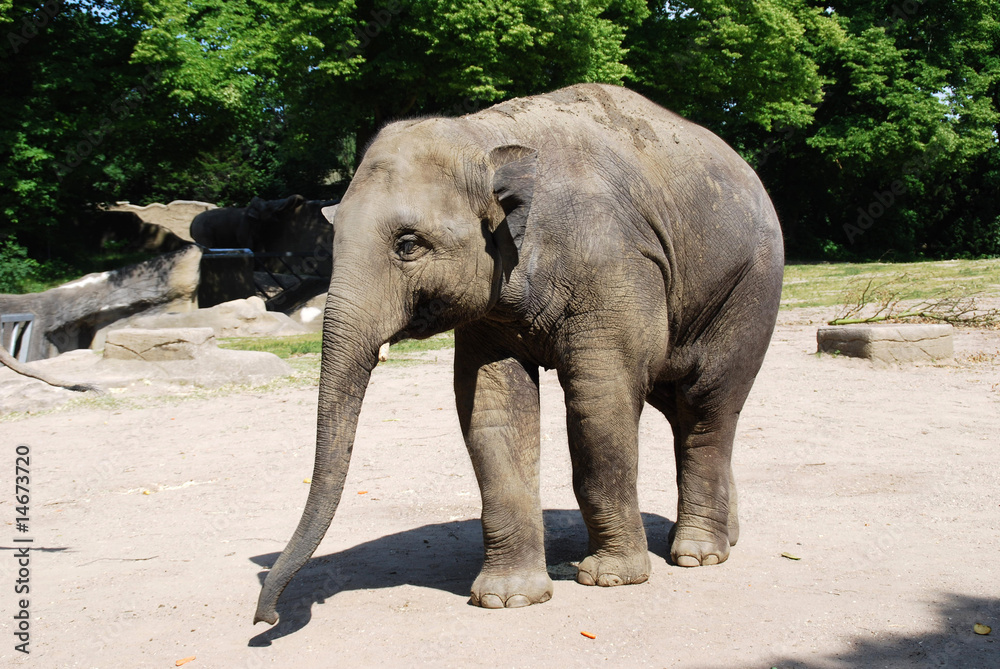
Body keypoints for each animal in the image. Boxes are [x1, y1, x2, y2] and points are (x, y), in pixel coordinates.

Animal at [254, 82, 784, 620]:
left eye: (407, 245)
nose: (267, 615)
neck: (483, 135)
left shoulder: (615, 266)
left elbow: (600, 402)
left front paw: (610, 578)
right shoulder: (491, 306)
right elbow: (492, 407)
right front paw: (506, 598)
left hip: (749, 288)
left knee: (707, 403)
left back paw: (698, 554)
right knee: (680, 407)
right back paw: (725, 537)